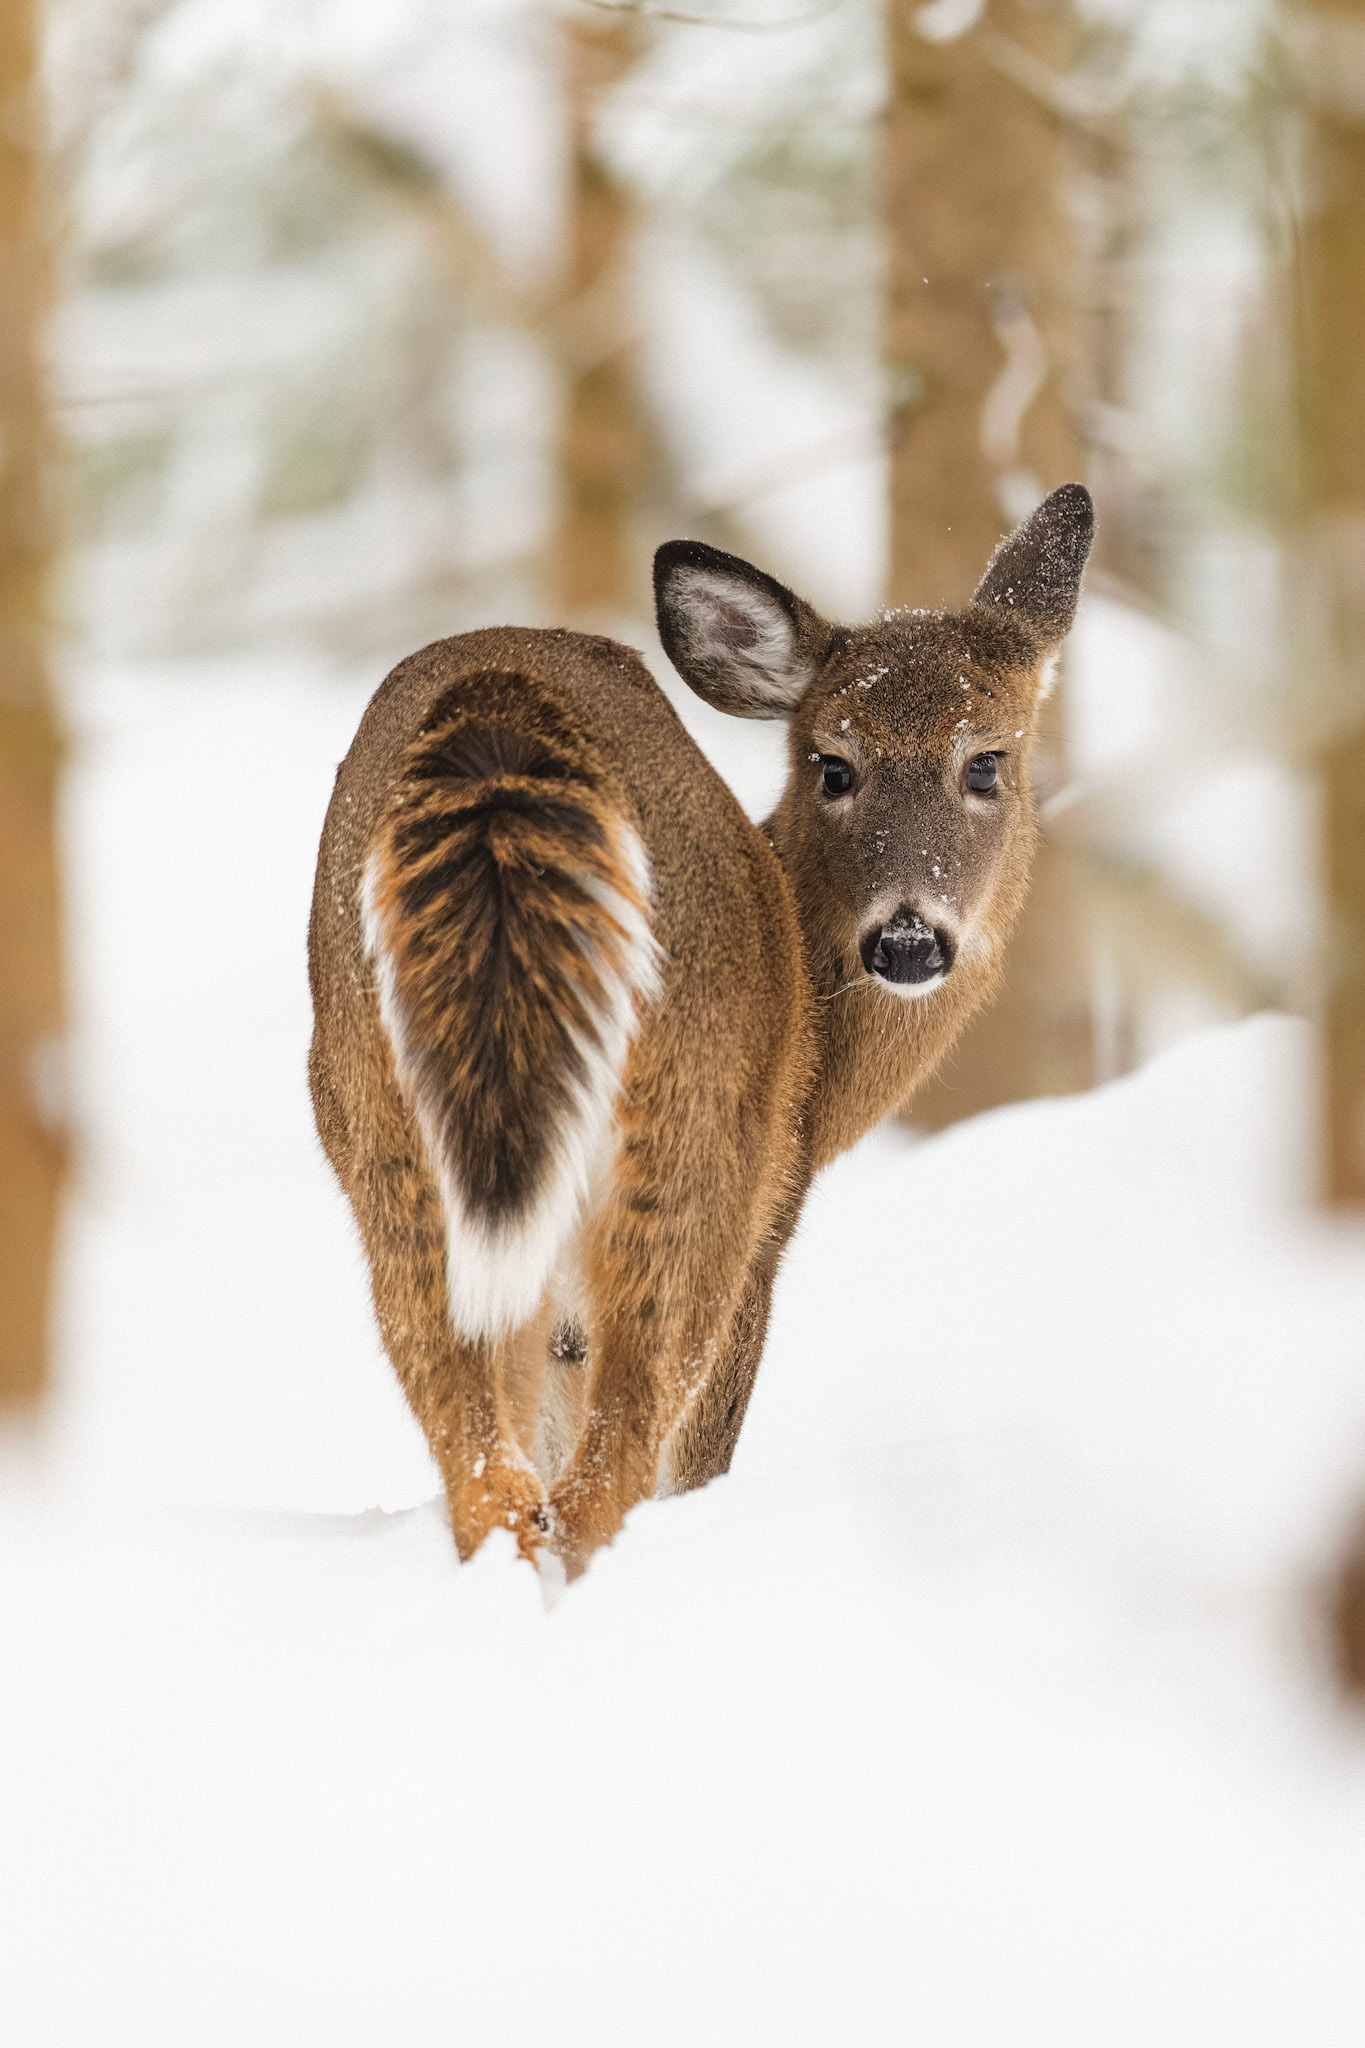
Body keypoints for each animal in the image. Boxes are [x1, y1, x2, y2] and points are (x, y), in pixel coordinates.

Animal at [308, 482, 1094, 1578]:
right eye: (832, 764)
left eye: (987, 762)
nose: (906, 939)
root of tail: (498, 719)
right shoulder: (768, 1218)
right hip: (698, 1132)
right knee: (603, 1475)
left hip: (386, 1126)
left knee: (490, 1473)